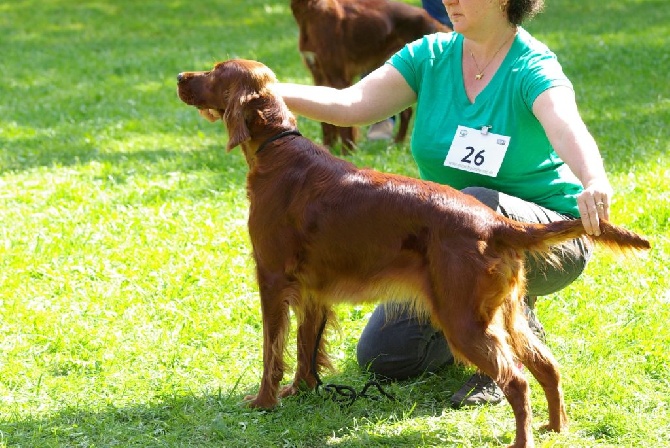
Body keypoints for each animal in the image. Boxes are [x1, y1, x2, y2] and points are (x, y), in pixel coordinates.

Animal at [177, 59, 652, 448]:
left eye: (216, 72)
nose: (181, 77)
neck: (279, 149)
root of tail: (495, 224)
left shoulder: (272, 278)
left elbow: (271, 350)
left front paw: (264, 401)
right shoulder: (312, 290)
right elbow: (306, 344)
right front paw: (301, 390)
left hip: (461, 318)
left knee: (517, 380)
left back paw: (523, 440)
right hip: (505, 313)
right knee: (547, 366)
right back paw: (555, 427)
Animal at [290, 0, 452, 152]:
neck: (311, 10)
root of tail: (433, 22)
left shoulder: (338, 77)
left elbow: (344, 126)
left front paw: (347, 153)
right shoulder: (318, 74)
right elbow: (326, 123)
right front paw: (326, 148)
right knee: (407, 112)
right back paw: (397, 143)